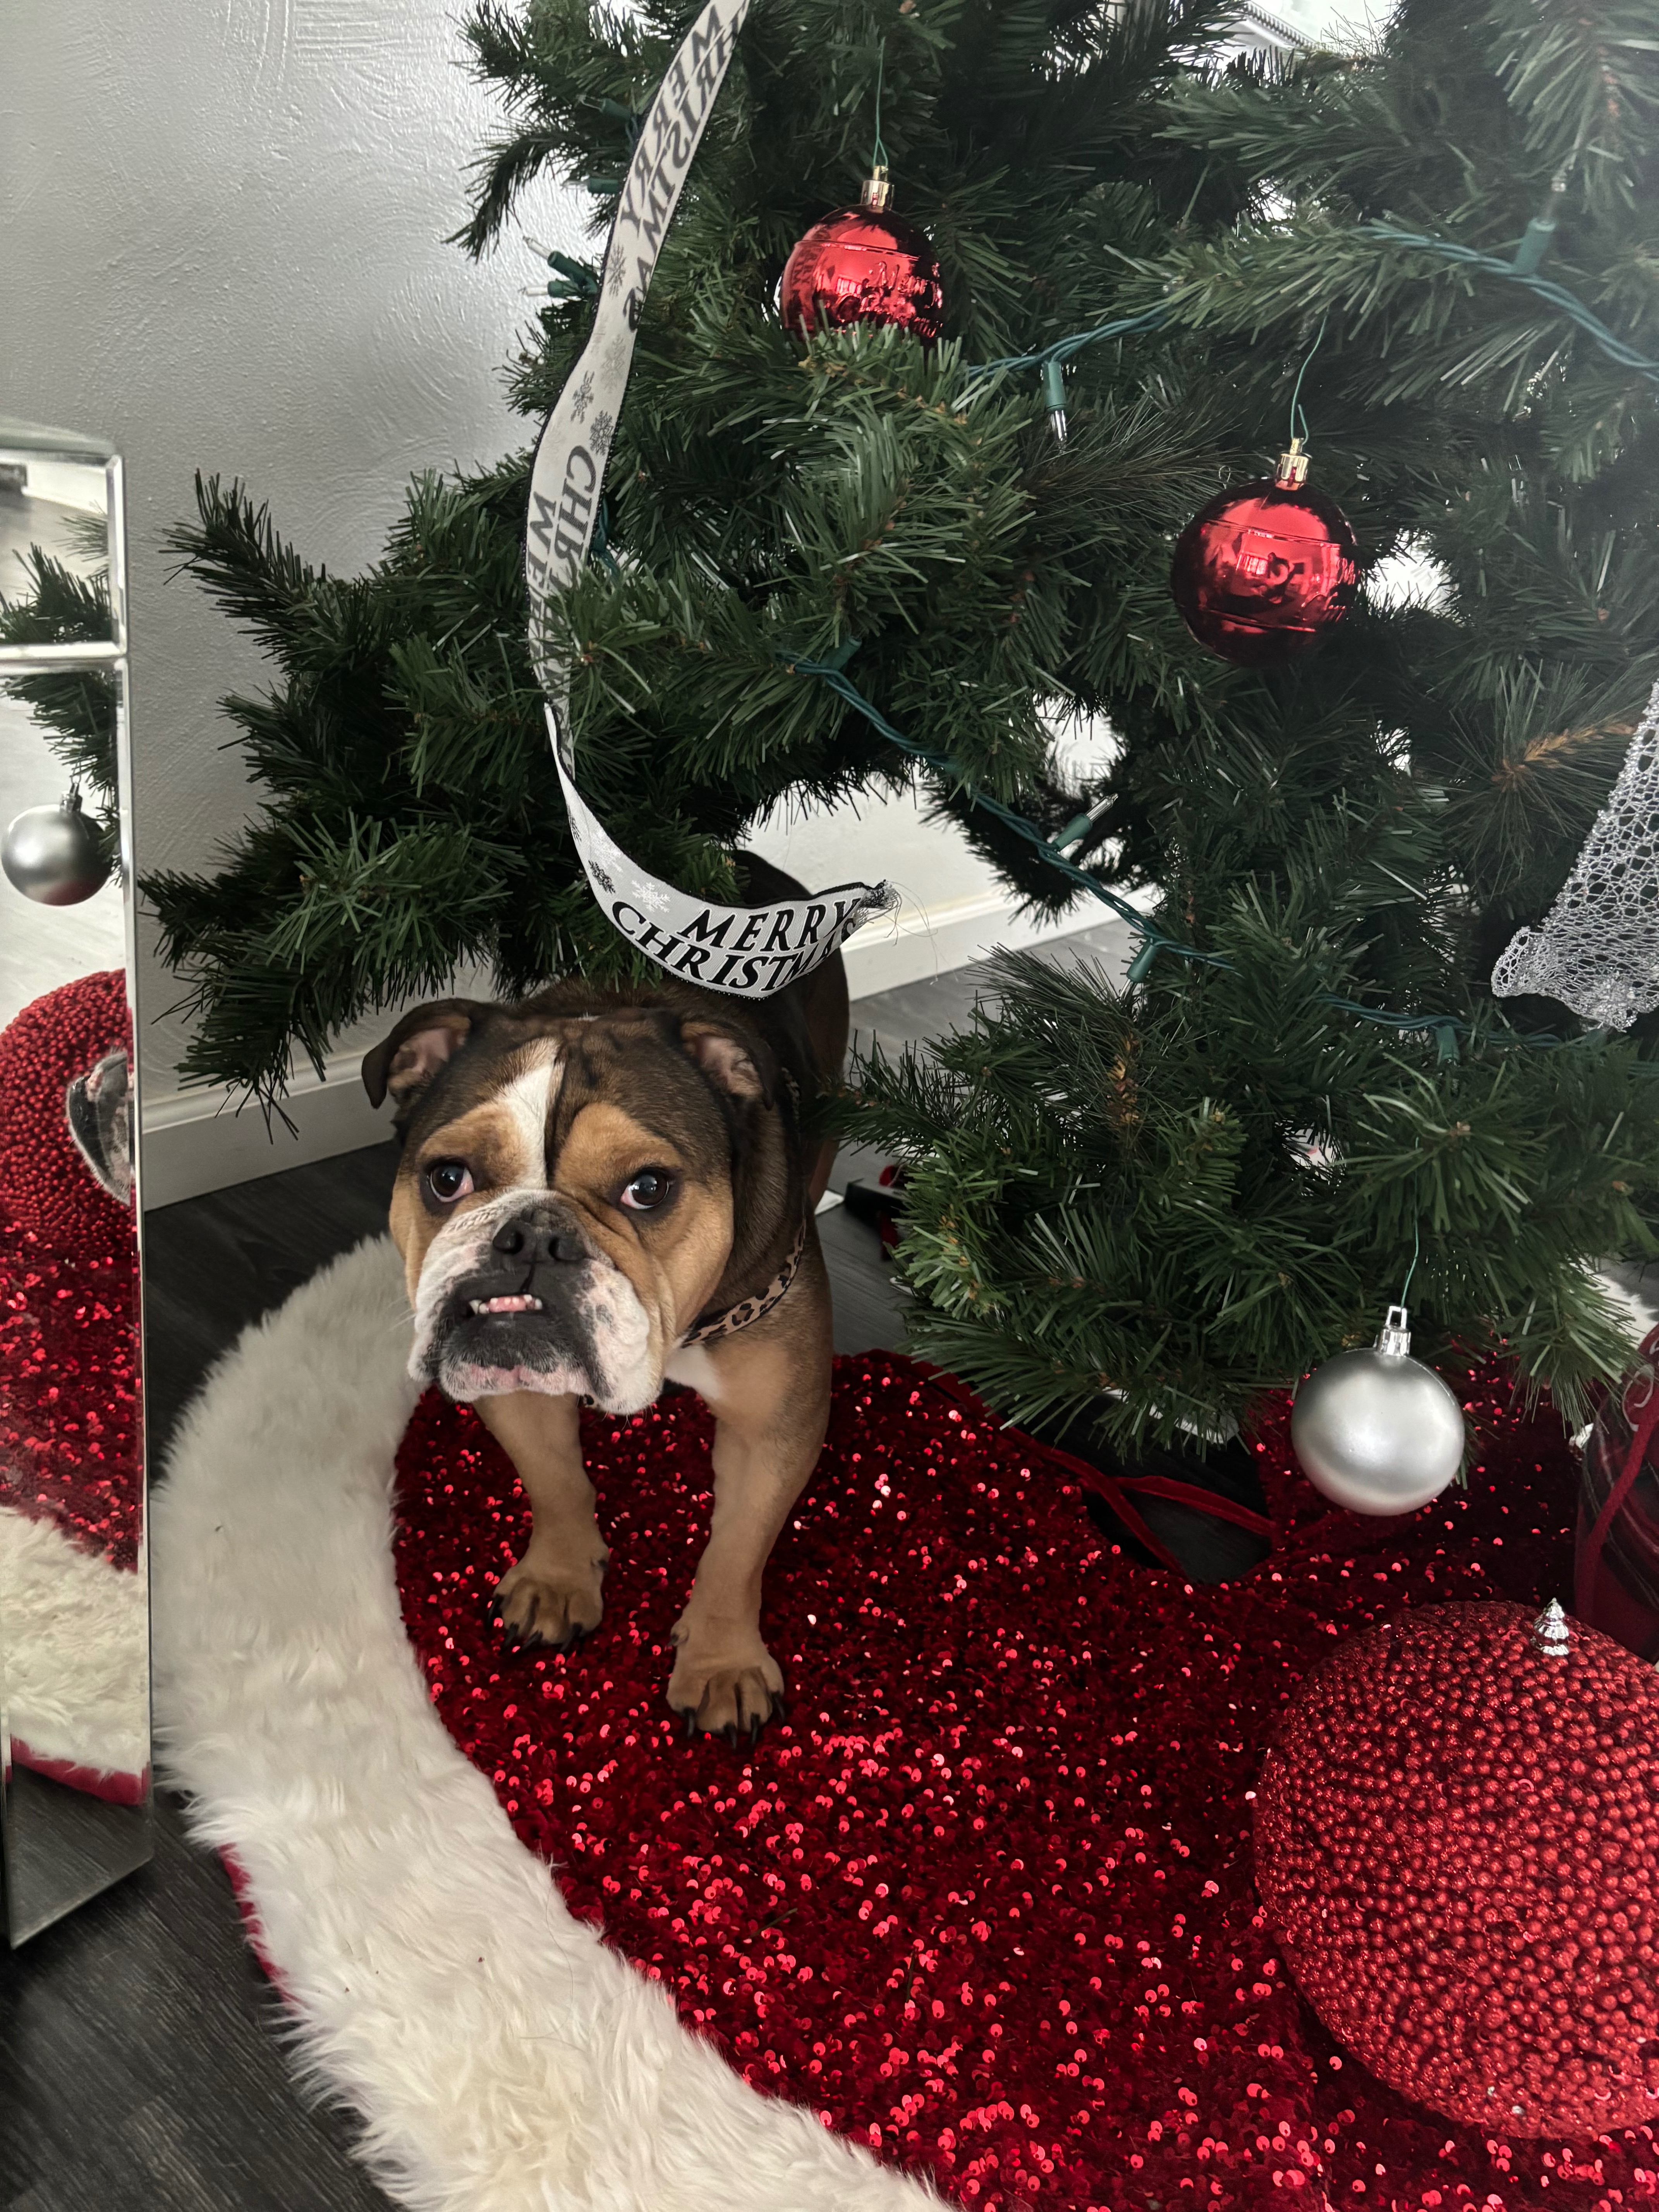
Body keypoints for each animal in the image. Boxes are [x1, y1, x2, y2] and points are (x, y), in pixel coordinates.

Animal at [362, 859, 846, 1745]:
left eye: (647, 1188)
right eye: (447, 1178)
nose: (530, 1238)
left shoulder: (775, 1427)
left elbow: (738, 1549)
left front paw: (721, 1664)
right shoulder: (513, 1387)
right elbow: (555, 1479)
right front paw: (559, 1578)